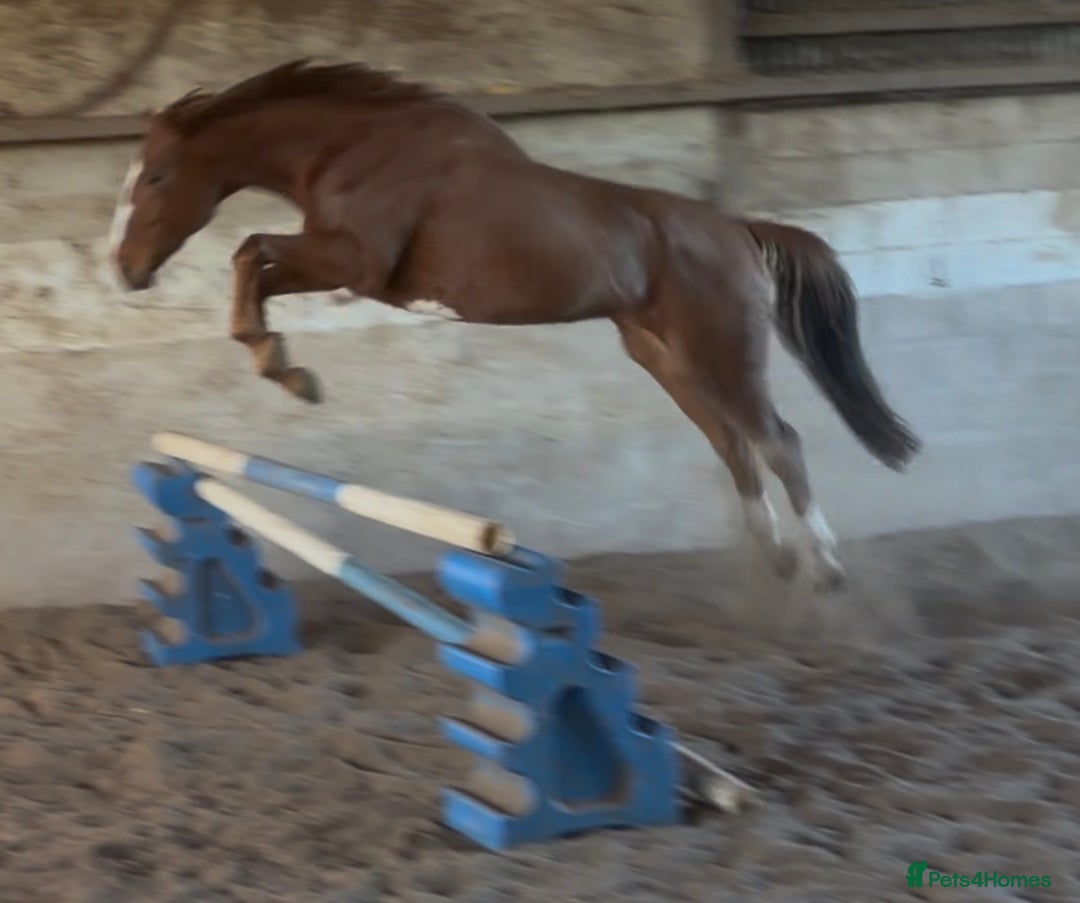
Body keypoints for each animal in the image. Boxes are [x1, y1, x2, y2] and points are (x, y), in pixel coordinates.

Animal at [109, 59, 921, 592]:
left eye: (156, 177)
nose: (125, 269)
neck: (353, 150)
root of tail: (737, 229)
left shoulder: (357, 263)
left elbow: (251, 251)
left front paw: (285, 369)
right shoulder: (339, 262)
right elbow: (257, 262)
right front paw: (282, 363)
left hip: (719, 351)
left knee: (778, 441)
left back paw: (826, 568)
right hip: (667, 359)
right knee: (732, 445)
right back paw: (775, 561)